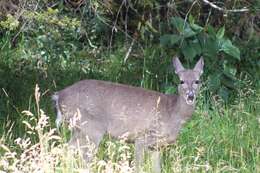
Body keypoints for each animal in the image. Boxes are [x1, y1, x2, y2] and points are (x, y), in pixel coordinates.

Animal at [51, 57, 204, 173]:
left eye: (197, 81)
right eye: (181, 81)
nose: (190, 96)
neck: (172, 113)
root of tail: (59, 96)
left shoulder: (157, 146)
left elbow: (157, 169)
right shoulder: (142, 137)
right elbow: (138, 167)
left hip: (79, 129)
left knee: (66, 149)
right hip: (91, 129)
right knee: (83, 159)